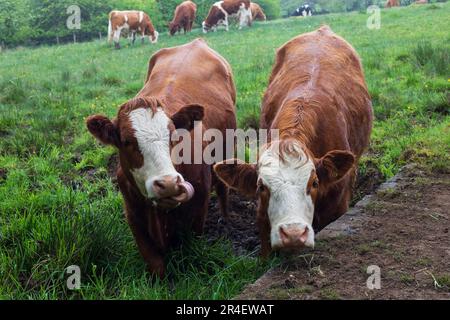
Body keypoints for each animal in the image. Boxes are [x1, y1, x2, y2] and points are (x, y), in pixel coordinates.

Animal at [85, 38, 237, 276]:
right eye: (126, 142)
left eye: (174, 136)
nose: (168, 184)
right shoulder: (133, 214)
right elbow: (155, 264)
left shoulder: (199, 205)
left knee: (223, 187)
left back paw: (226, 219)